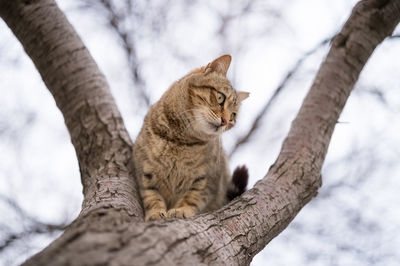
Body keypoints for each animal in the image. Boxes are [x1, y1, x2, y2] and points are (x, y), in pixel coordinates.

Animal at [133, 53, 248, 220]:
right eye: (220, 98)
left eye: (233, 116)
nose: (225, 121)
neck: (181, 141)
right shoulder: (145, 171)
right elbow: (151, 195)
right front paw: (155, 212)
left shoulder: (208, 180)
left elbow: (194, 197)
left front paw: (182, 209)